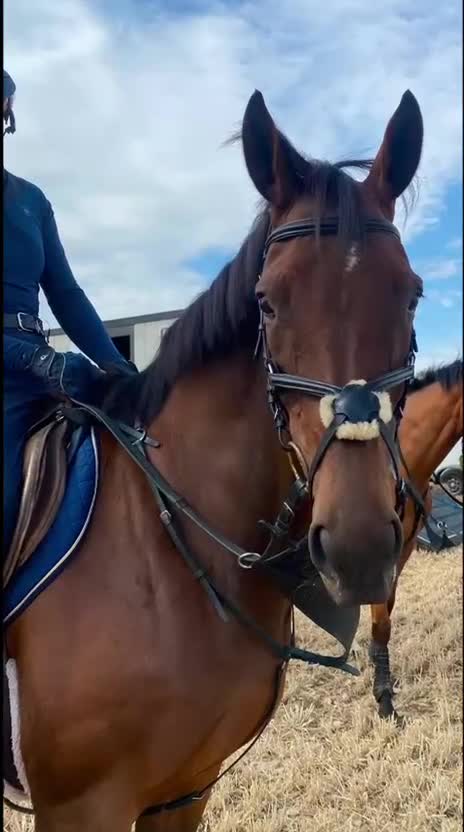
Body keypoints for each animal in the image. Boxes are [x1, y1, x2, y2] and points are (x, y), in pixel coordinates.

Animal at [4, 88, 424, 831]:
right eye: (267, 303)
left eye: (412, 295)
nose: (359, 549)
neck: (168, 545)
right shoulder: (81, 806)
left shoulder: (186, 789)